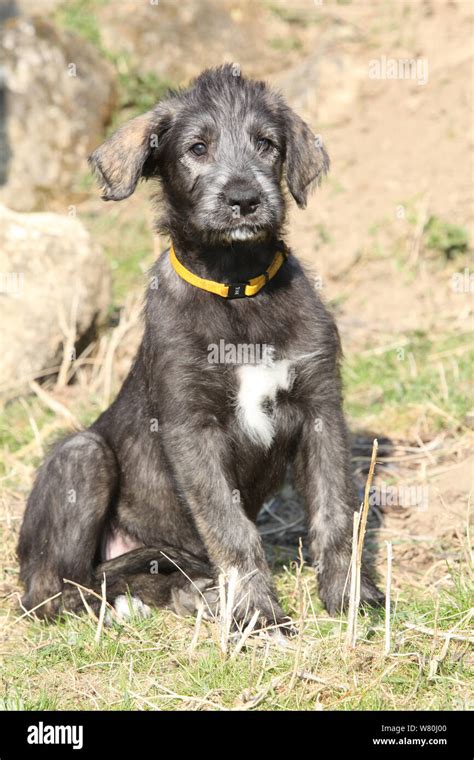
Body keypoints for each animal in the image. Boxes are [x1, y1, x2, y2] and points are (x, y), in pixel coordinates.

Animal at [17, 67, 386, 628]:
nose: (244, 199)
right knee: (55, 589)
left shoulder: (321, 409)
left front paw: (350, 599)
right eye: (196, 148)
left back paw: (188, 593)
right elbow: (231, 529)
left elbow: (335, 514)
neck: (237, 288)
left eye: (266, 144)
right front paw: (258, 614)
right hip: (81, 457)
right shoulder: (192, 427)